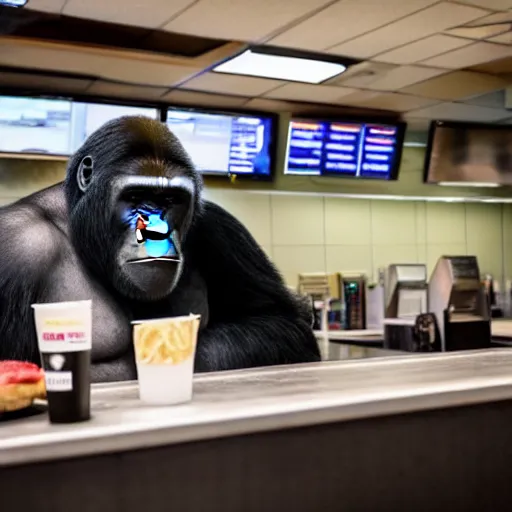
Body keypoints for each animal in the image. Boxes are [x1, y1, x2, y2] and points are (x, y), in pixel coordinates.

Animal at [0, 115, 320, 380]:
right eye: (135, 196)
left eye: (171, 200)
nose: (157, 232)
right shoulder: (16, 247)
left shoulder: (221, 228)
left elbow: (281, 320)